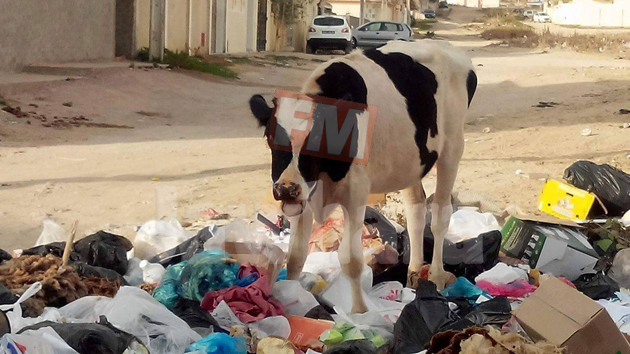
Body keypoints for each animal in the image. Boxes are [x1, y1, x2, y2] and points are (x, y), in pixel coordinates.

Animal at [249, 40, 476, 314]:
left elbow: (351, 259)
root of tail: (447, 47)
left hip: (452, 148)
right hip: (411, 163)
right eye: (270, 138)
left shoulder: (355, 193)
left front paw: (359, 312)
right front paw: (292, 297)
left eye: (316, 139)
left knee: (441, 215)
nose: (285, 188)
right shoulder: (304, 196)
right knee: (416, 212)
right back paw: (413, 272)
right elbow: (295, 256)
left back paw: (437, 275)